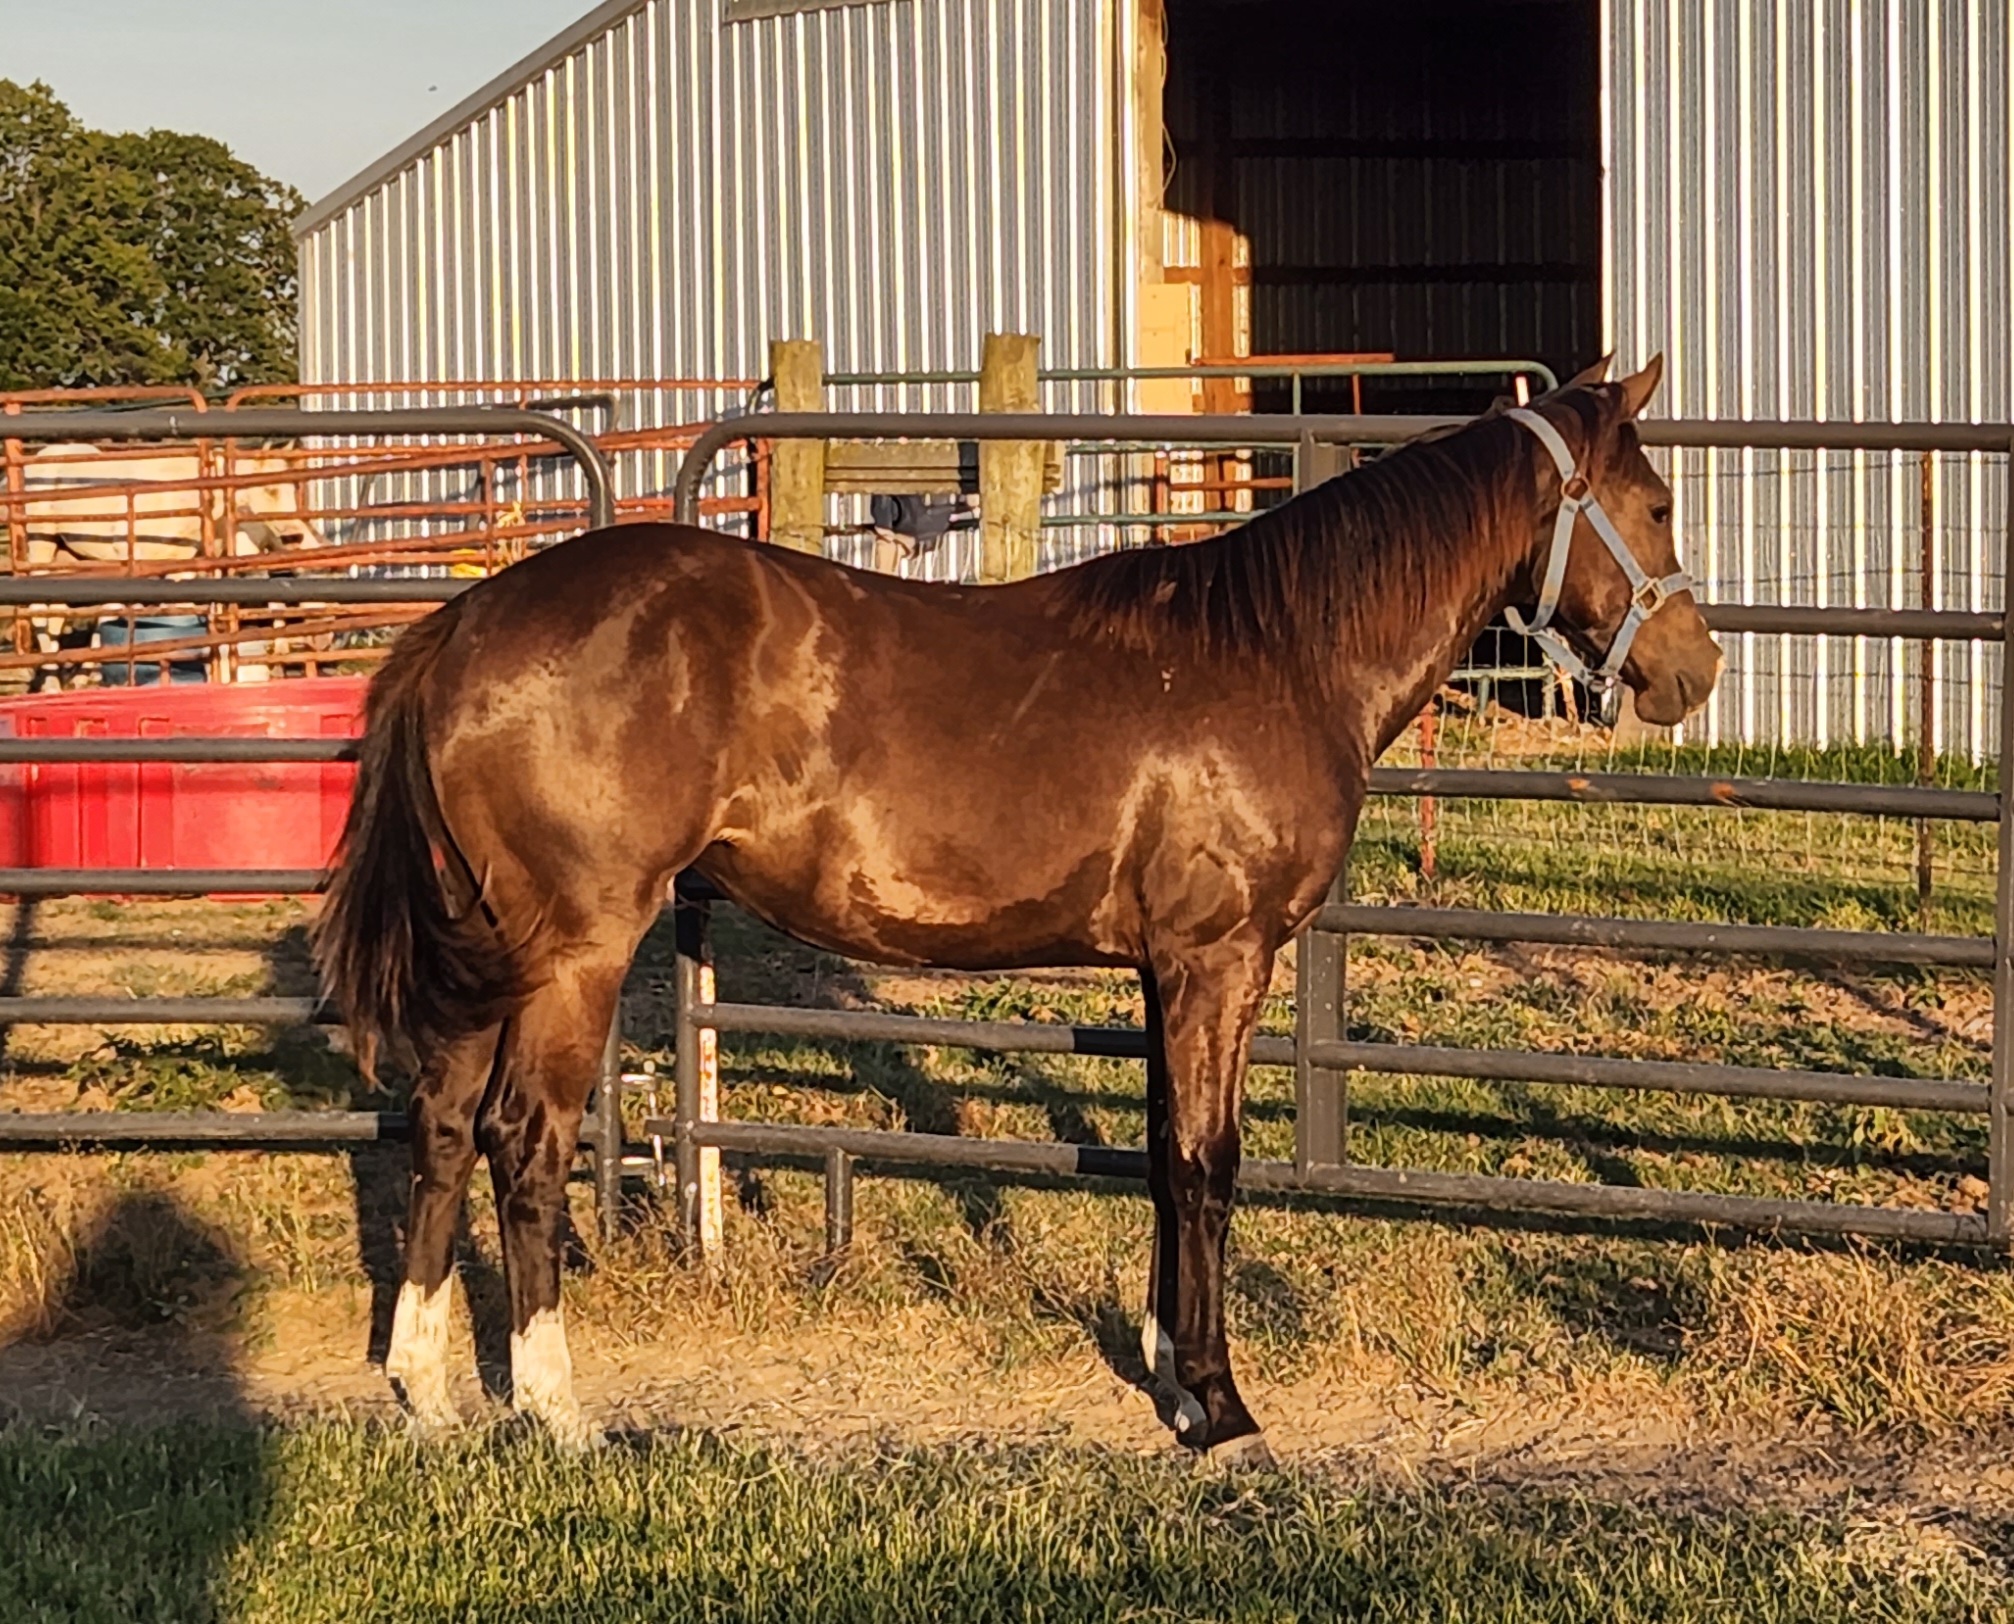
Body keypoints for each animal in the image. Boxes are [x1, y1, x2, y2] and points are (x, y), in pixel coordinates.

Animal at [314, 357, 1720, 1460]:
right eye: (1653, 503)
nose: (1692, 671)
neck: (1276, 649)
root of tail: (464, 624)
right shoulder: (1219, 960)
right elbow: (1208, 1163)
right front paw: (1221, 1405)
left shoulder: (1164, 970)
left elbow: (1160, 1154)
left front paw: (1169, 1370)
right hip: (577, 948)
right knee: (524, 1140)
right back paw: (554, 1407)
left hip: (490, 950)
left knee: (441, 1126)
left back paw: (425, 1390)